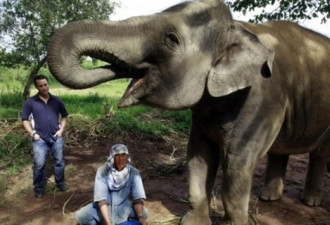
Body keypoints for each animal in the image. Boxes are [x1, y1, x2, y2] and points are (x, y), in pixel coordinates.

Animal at [47, 0, 330, 225]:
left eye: (172, 39)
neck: (239, 28)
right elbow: (198, 156)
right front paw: (193, 222)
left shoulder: (263, 97)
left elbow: (237, 160)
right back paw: (268, 197)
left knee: (319, 153)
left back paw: (311, 203)